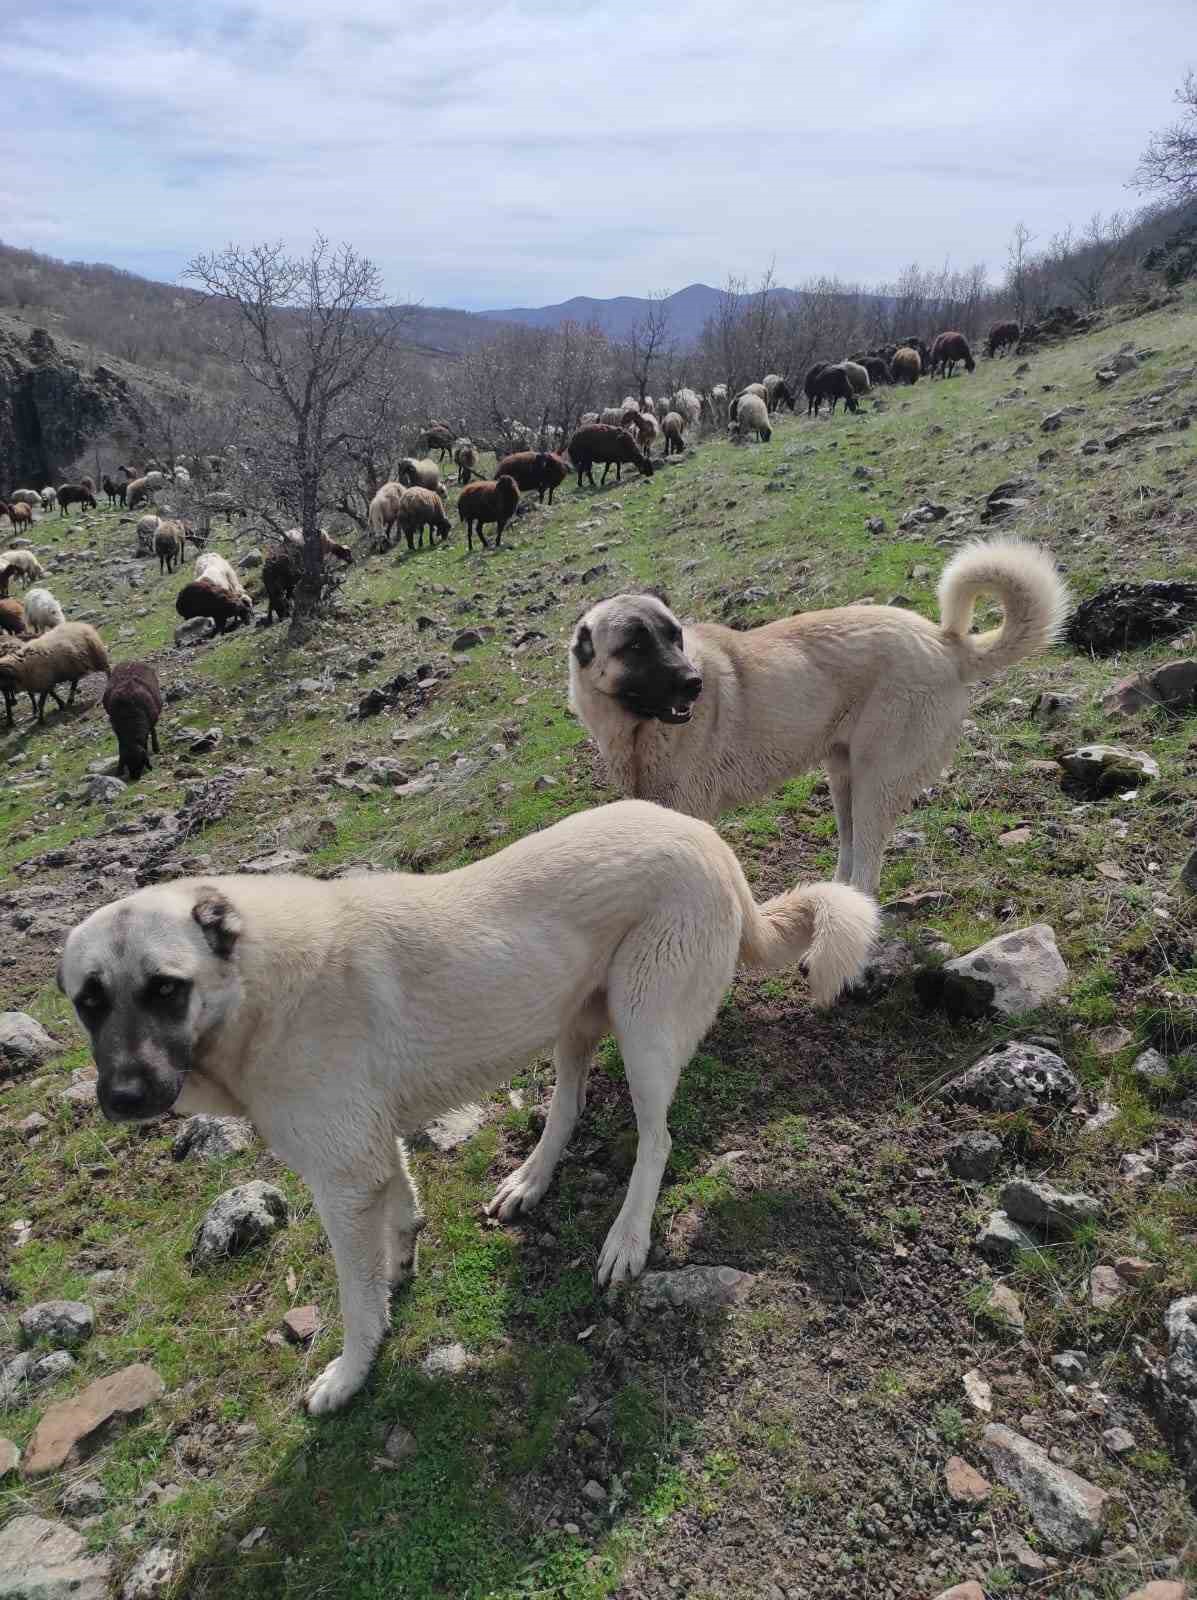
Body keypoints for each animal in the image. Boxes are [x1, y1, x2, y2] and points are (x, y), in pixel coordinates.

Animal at [60, 800, 876, 1414]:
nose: (122, 1098)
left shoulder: (341, 1178)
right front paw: (401, 1263)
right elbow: (399, 1209)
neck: (253, 985)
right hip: (571, 1020)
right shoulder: (368, 1152)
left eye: (166, 988)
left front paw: (350, 1373)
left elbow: (355, 1299)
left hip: (643, 1029)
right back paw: (531, 1180)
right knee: (569, 1105)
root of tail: (710, 841)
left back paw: (626, 1239)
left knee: (656, 1140)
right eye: (88, 1001)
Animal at [569, 540, 1068, 902]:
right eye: (636, 645)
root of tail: (944, 643)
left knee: (867, 867)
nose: (694, 683)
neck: (637, 729)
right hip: (844, 779)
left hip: (876, 781)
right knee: (850, 852)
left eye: (675, 637)